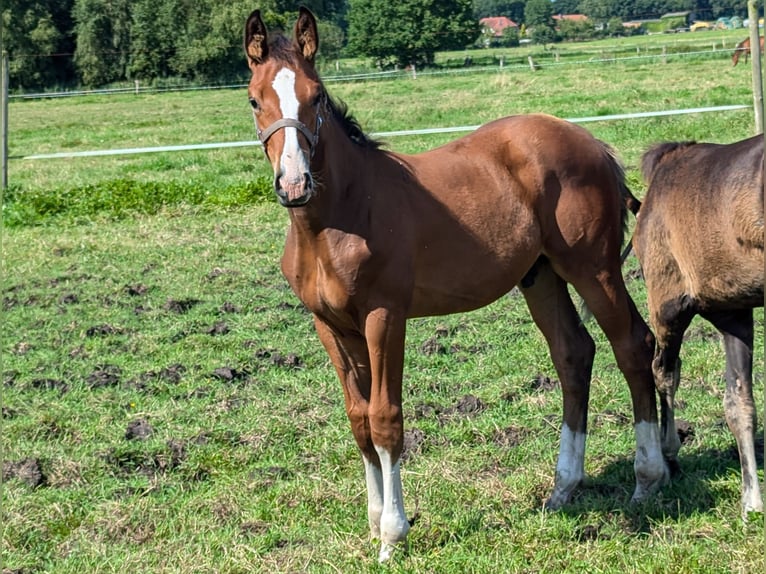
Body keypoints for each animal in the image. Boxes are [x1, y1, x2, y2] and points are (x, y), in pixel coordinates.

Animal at [243, 5, 668, 564]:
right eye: (254, 99)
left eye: (316, 96)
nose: (294, 184)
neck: (339, 218)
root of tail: (593, 143)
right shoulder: (330, 326)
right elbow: (358, 420)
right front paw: (374, 522)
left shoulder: (384, 316)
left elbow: (385, 418)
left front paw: (393, 535)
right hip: (541, 276)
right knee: (574, 354)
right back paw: (562, 489)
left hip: (591, 268)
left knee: (632, 345)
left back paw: (647, 478)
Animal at [632, 136, 764, 520]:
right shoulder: (732, 312)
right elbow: (738, 403)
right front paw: (752, 502)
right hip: (672, 305)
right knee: (664, 369)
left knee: (666, 370)